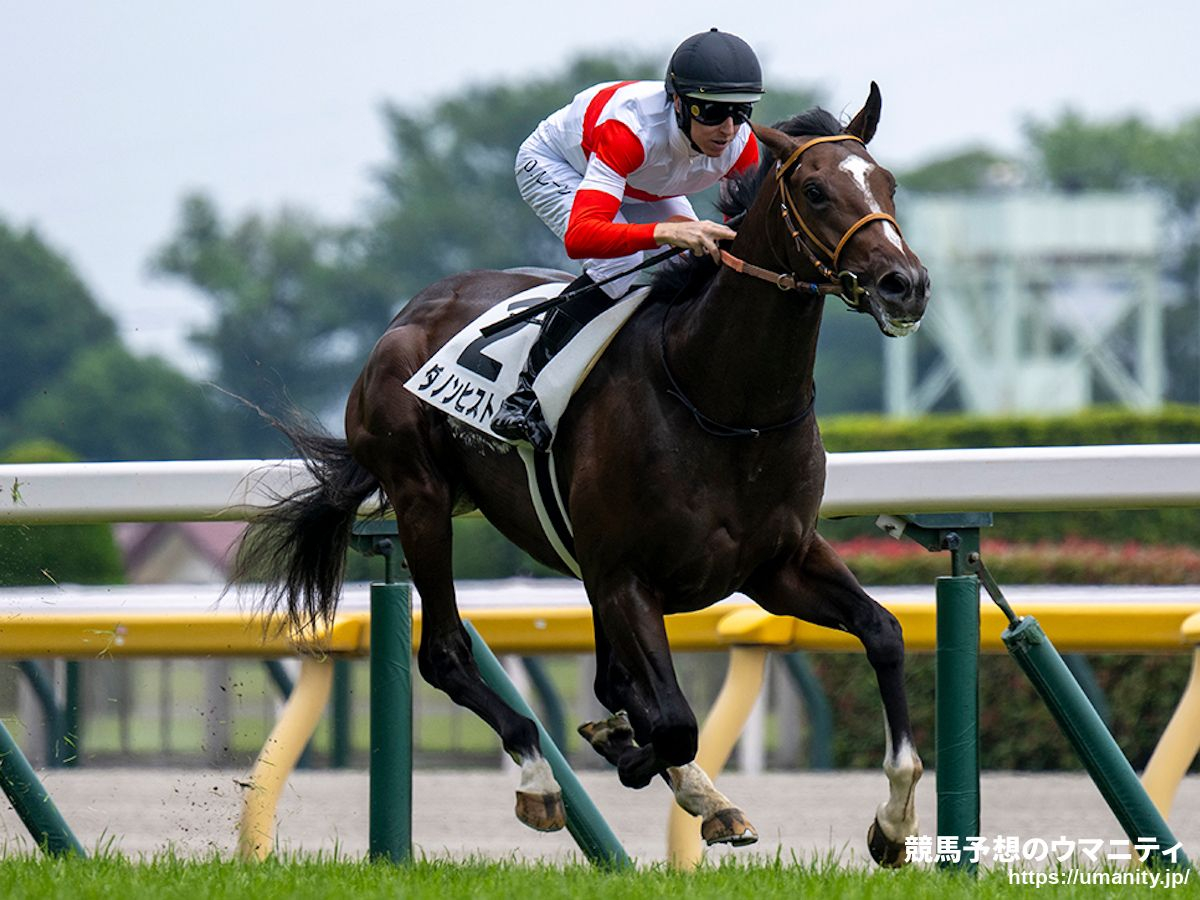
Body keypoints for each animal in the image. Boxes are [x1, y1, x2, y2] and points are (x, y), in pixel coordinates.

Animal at [234, 83, 930, 866]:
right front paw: (634, 760)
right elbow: (673, 721)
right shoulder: (626, 574)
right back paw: (541, 779)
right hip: (422, 499)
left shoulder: (775, 564)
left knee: (612, 675)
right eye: (814, 191)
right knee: (446, 653)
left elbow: (882, 632)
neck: (722, 400)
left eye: (888, 184)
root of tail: (405, 317)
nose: (905, 284)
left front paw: (893, 821)